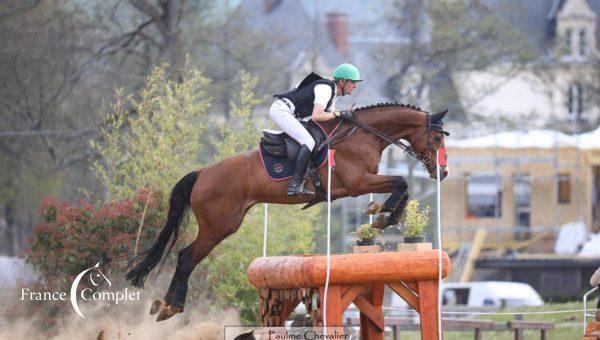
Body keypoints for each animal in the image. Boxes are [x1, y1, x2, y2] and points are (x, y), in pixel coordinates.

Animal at [125, 102, 446, 320]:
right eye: (438, 139)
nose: (441, 173)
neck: (362, 135)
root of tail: (202, 173)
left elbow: (402, 186)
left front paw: (385, 215)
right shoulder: (357, 183)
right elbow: (401, 182)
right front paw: (385, 214)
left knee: (186, 257)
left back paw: (166, 304)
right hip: (219, 226)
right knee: (186, 257)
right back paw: (172, 306)